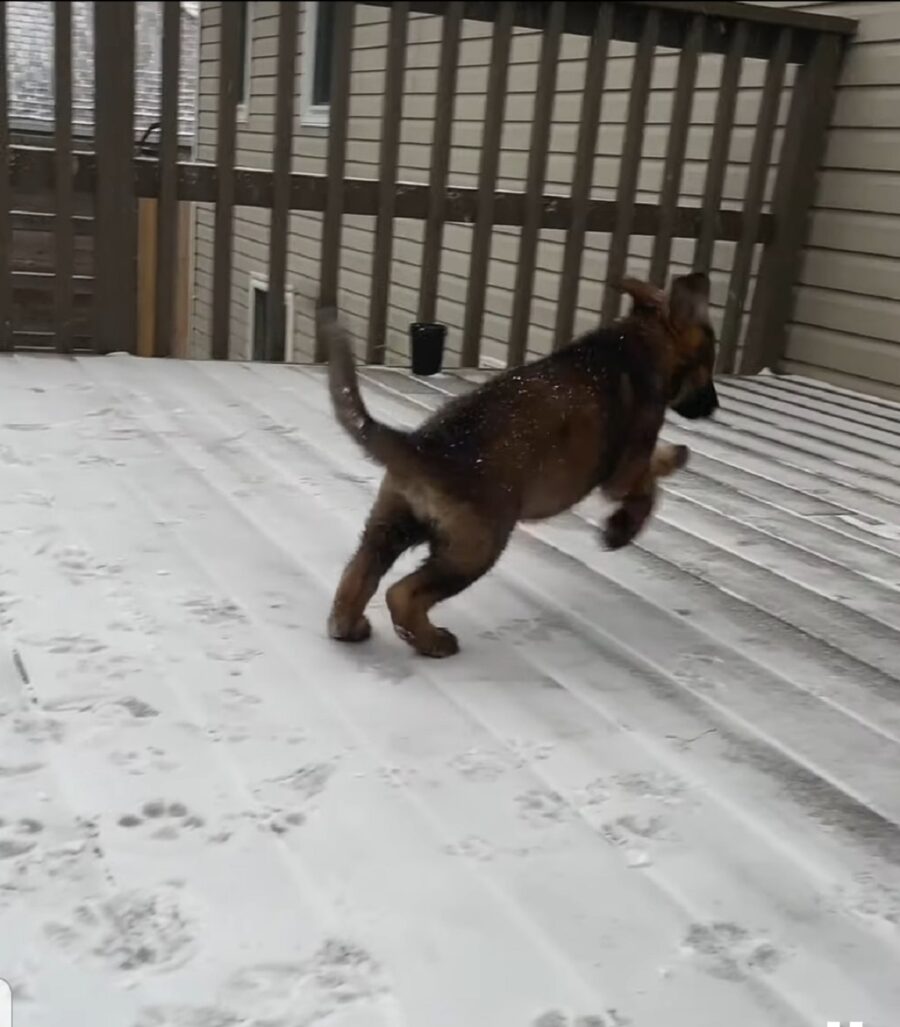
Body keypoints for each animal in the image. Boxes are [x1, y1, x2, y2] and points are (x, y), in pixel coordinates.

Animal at [322, 271, 719, 657]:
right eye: (708, 362)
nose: (714, 407)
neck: (642, 339)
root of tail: (420, 447)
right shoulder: (626, 468)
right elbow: (649, 489)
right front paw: (620, 529)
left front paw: (675, 456)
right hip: (475, 546)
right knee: (402, 593)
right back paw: (433, 641)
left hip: (389, 524)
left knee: (358, 574)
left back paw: (348, 627)